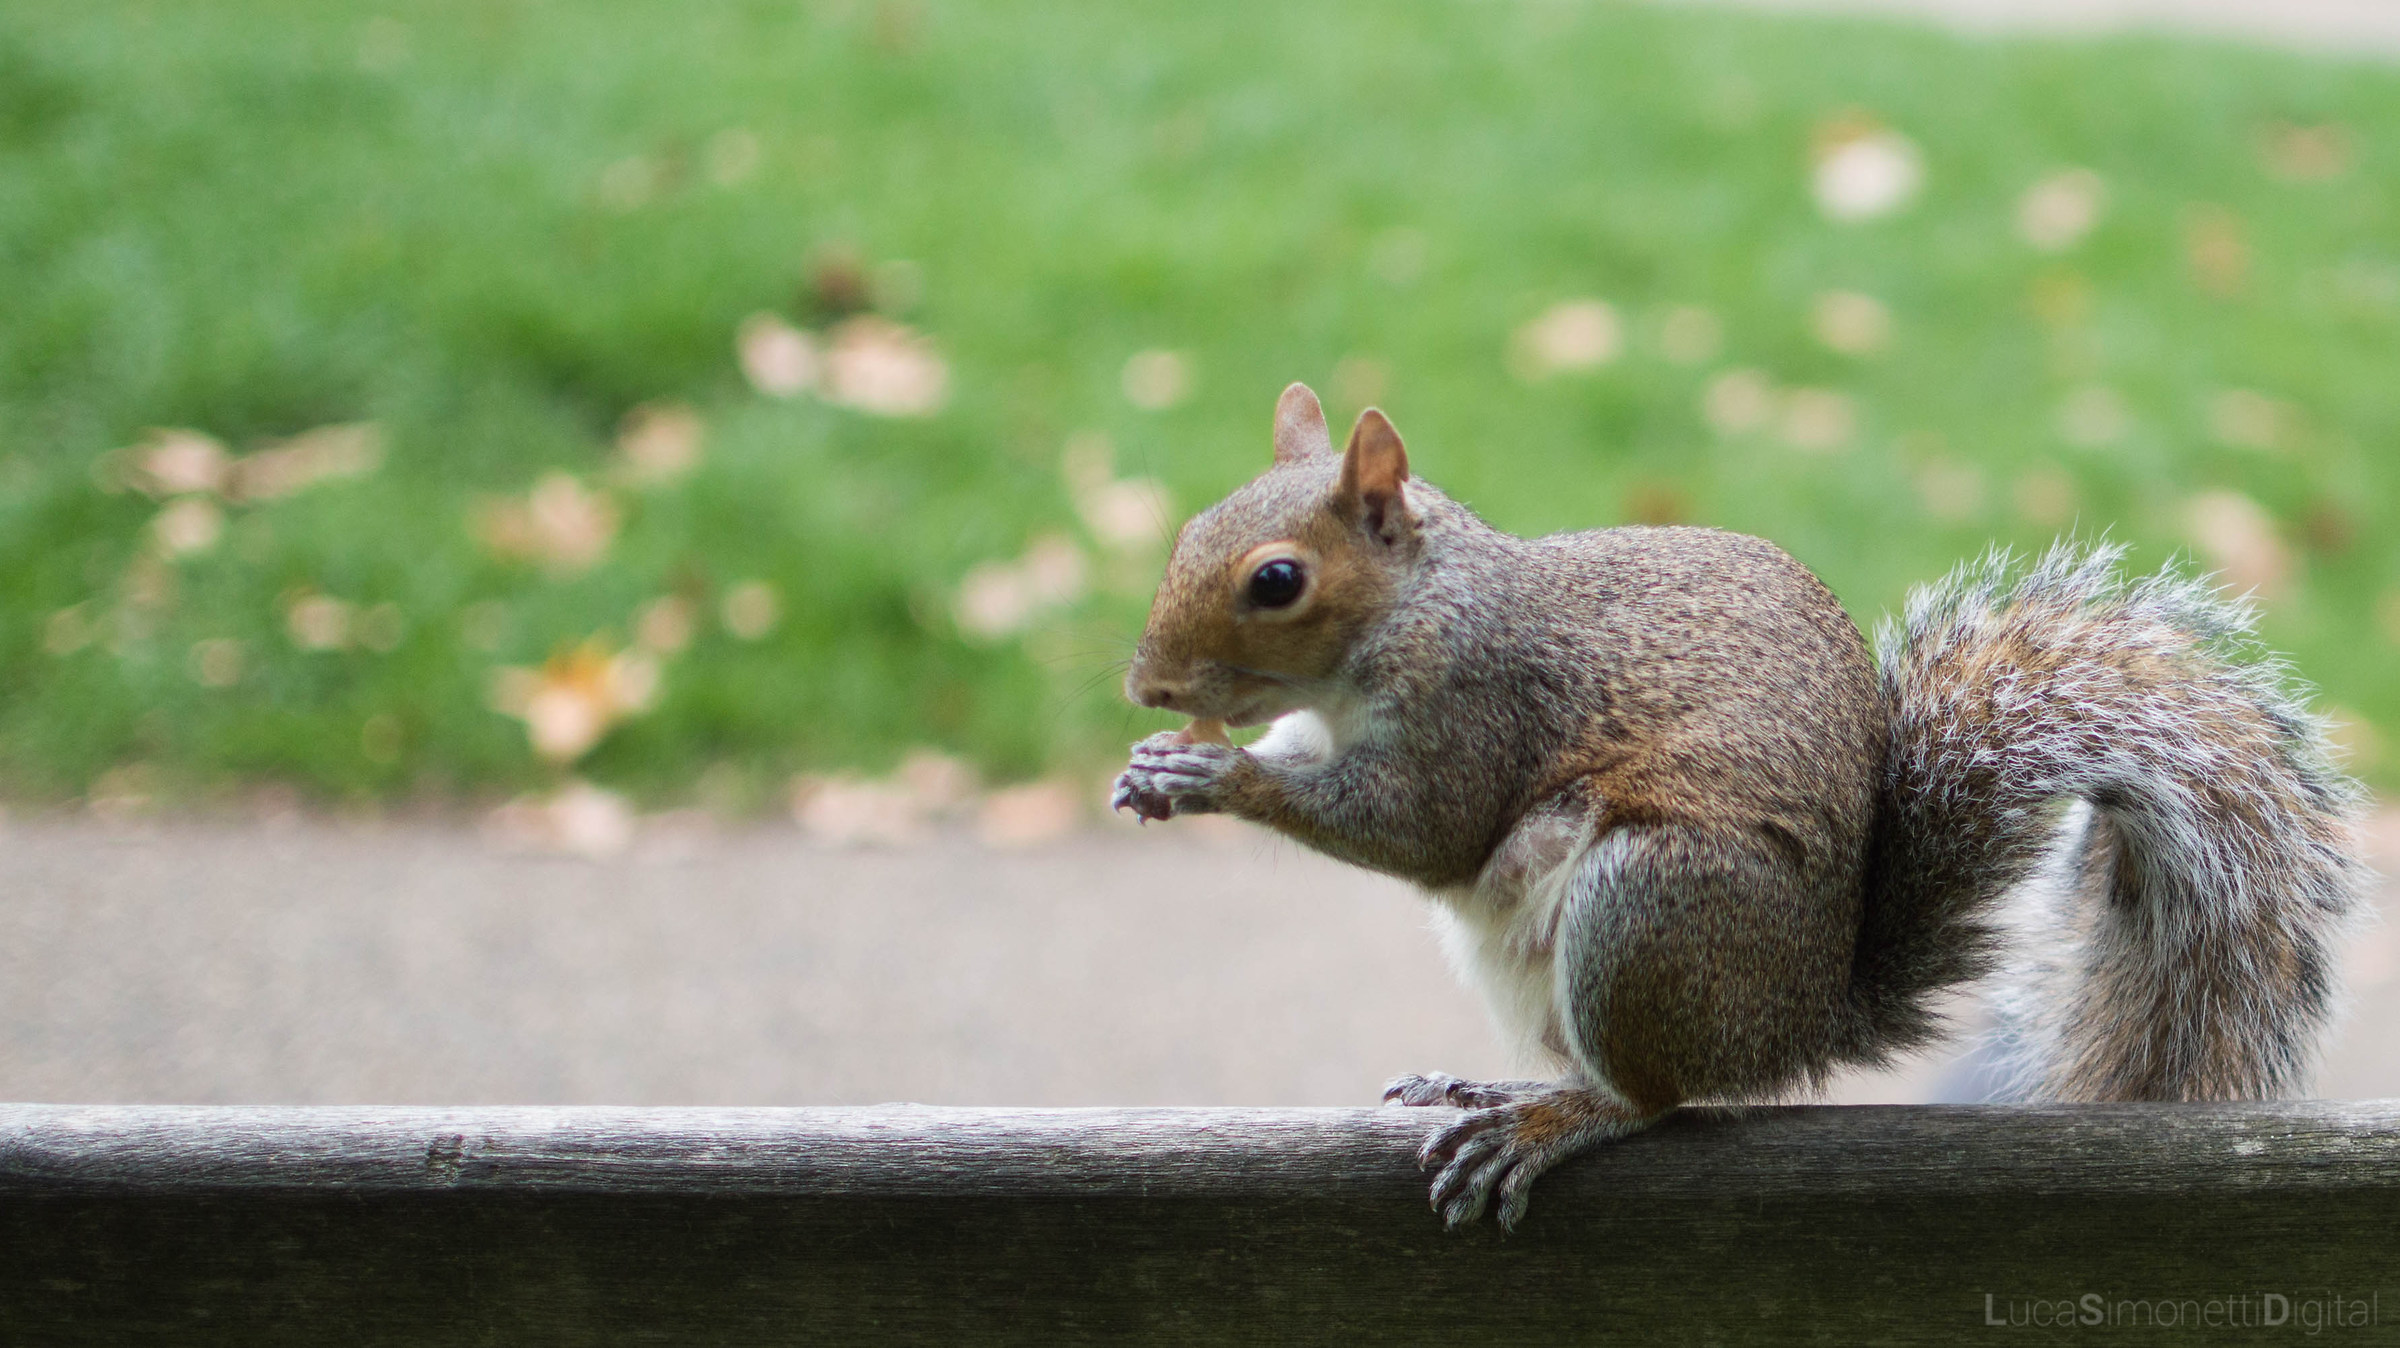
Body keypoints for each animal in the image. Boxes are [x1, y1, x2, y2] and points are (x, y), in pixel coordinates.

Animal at [1110, 382, 2368, 1230]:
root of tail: (1798, 1023)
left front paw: (1220, 776)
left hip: (1651, 910)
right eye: (1188, 531)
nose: (1148, 685)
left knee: (1656, 1096)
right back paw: (1502, 1083)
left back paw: (1551, 1121)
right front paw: (1157, 764)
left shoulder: (1476, 708)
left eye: (1277, 580)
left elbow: (1422, 825)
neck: (1413, 608)